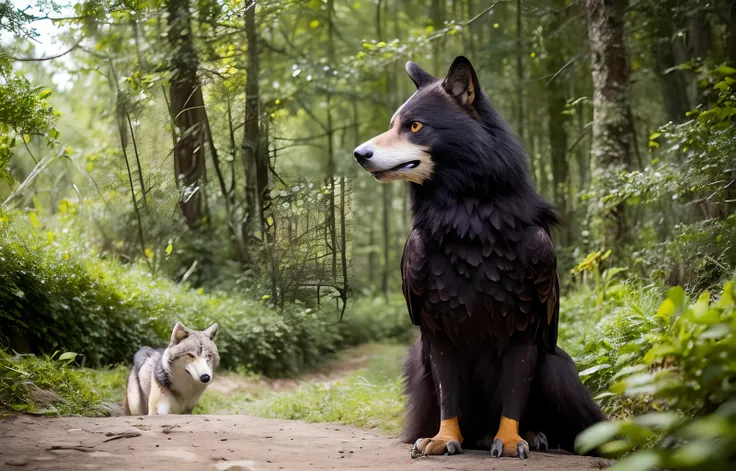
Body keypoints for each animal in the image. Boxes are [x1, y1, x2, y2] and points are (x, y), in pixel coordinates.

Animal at [356, 57, 604, 460]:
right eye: (394, 124)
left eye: (414, 126)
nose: (359, 154)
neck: (469, 218)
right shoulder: (437, 331)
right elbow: (448, 393)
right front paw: (443, 437)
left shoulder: (525, 331)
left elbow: (514, 390)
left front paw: (511, 438)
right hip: (418, 364)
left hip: (556, 365)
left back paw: (525, 433)